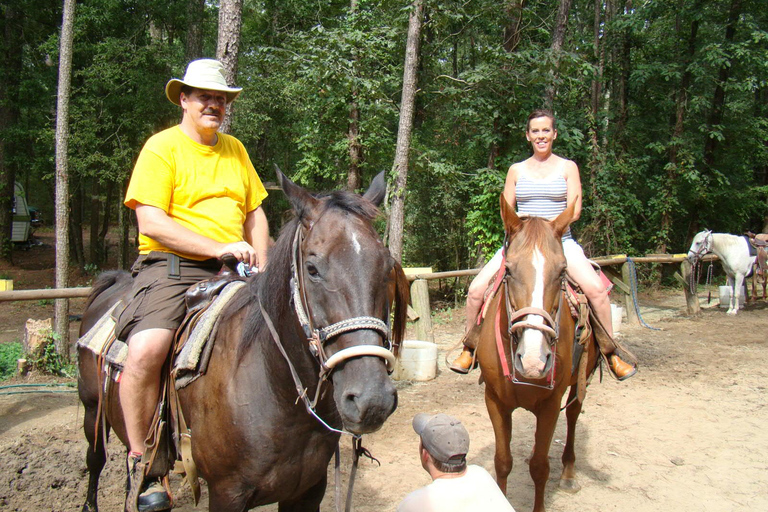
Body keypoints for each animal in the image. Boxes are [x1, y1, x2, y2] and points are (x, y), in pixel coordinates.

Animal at [78, 172, 412, 512]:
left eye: (387, 267)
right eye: (312, 269)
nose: (372, 400)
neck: (277, 392)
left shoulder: (307, 491)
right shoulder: (227, 494)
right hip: (92, 408)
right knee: (97, 459)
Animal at [480, 196, 600, 512]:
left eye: (562, 272)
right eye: (509, 270)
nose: (534, 361)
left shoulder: (550, 404)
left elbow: (539, 467)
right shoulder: (495, 401)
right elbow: (502, 461)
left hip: (579, 384)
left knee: (572, 416)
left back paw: (569, 474)